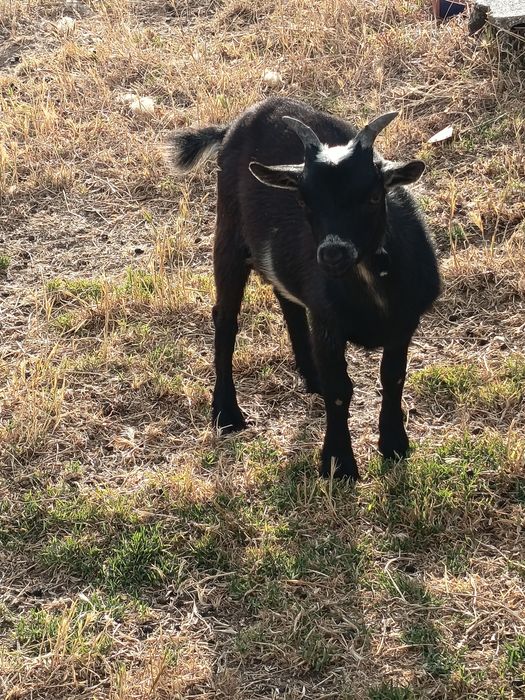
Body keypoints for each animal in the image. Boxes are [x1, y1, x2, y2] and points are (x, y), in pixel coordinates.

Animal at [165, 97, 441, 480]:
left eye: (374, 195)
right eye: (303, 200)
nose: (332, 253)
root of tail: (245, 119)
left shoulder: (404, 322)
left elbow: (393, 378)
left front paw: (394, 445)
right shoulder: (328, 323)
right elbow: (341, 390)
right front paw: (339, 464)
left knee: (288, 302)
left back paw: (311, 378)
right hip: (229, 234)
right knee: (226, 318)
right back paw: (226, 412)